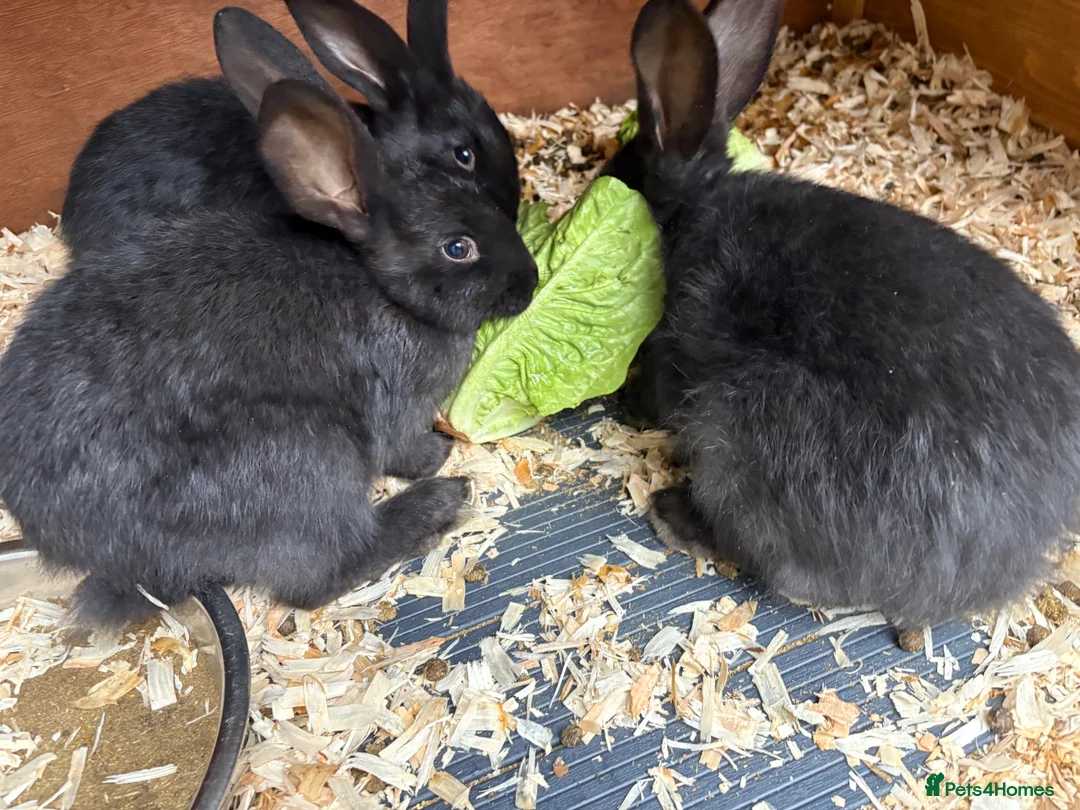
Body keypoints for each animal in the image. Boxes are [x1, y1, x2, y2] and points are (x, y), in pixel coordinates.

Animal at [0, 73, 539, 631]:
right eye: (458, 248)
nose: (531, 282)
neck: (383, 289)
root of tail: (87, 551)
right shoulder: (398, 404)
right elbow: (403, 447)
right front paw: (438, 454)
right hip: (309, 460)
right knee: (319, 576)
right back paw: (438, 503)